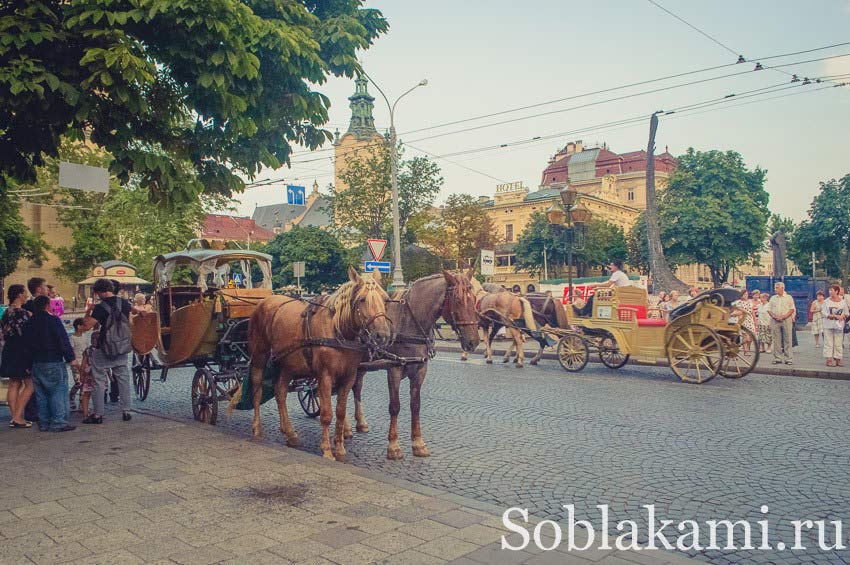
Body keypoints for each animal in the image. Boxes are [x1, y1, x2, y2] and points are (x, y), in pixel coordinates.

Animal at [245, 268, 390, 458]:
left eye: (385, 298)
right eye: (362, 299)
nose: (383, 335)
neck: (337, 331)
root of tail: (264, 301)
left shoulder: (349, 376)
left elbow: (340, 412)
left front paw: (340, 448)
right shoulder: (325, 376)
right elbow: (326, 414)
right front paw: (327, 450)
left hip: (287, 365)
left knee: (280, 392)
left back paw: (289, 433)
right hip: (259, 357)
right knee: (257, 388)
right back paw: (257, 429)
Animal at [344, 268, 476, 458]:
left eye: (475, 299)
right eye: (458, 300)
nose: (473, 341)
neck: (409, 322)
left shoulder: (420, 370)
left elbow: (415, 405)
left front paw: (418, 443)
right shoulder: (394, 369)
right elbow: (395, 406)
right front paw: (393, 446)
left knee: (356, 388)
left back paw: (360, 422)